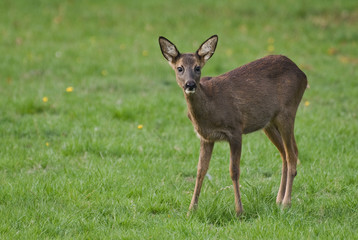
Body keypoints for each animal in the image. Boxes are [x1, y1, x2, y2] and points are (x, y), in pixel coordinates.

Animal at [159, 34, 308, 216]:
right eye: (179, 68)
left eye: (197, 68)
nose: (190, 84)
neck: (210, 108)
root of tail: (302, 74)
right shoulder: (206, 137)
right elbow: (201, 171)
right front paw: (191, 210)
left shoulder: (235, 130)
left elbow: (234, 171)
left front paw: (239, 210)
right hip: (269, 122)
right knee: (286, 153)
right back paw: (279, 200)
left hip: (287, 111)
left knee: (292, 154)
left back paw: (286, 203)